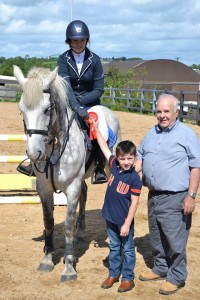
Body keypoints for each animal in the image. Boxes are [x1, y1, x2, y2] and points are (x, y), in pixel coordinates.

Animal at [13, 65, 122, 282]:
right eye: (22, 110)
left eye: (47, 109)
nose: (34, 153)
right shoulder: (44, 188)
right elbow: (49, 222)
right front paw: (47, 259)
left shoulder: (71, 187)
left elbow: (68, 226)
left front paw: (69, 267)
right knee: (85, 193)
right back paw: (81, 230)